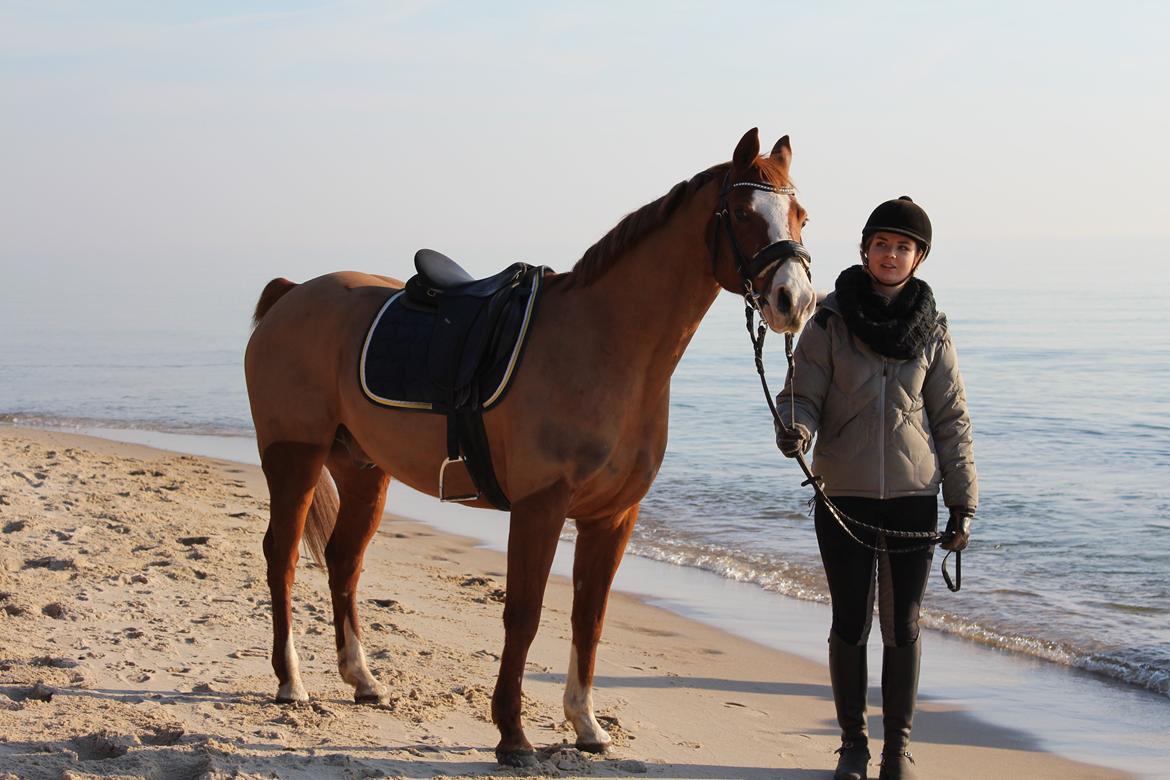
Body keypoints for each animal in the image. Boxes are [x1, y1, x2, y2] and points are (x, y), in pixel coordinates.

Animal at [244, 126, 814, 762]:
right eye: (742, 213)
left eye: (800, 216)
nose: (794, 301)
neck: (605, 346)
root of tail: (292, 294)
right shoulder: (540, 507)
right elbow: (524, 613)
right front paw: (512, 735)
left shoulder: (614, 516)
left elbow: (589, 616)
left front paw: (586, 726)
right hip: (294, 458)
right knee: (283, 557)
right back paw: (291, 682)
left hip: (363, 469)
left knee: (344, 561)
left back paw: (363, 680)